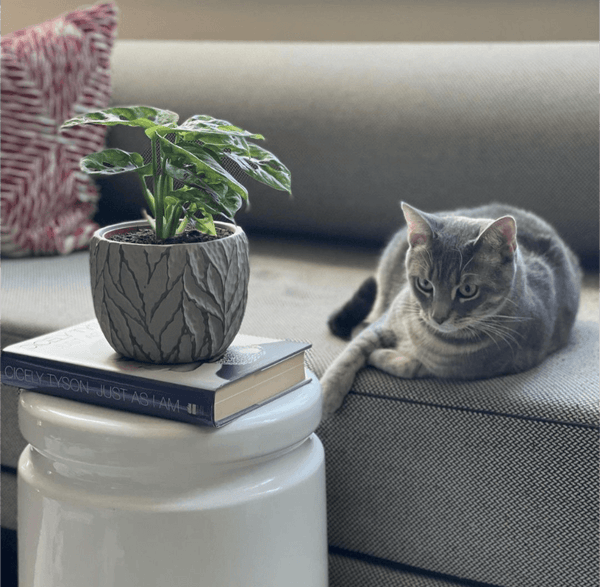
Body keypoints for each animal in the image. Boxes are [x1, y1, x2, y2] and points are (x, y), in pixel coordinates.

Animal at [324, 204, 580, 416]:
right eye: (425, 284)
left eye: (467, 290)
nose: (438, 317)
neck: (429, 336)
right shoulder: (385, 322)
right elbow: (351, 353)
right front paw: (327, 393)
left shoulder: (461, 369)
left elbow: (410, 365)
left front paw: (381, 355)